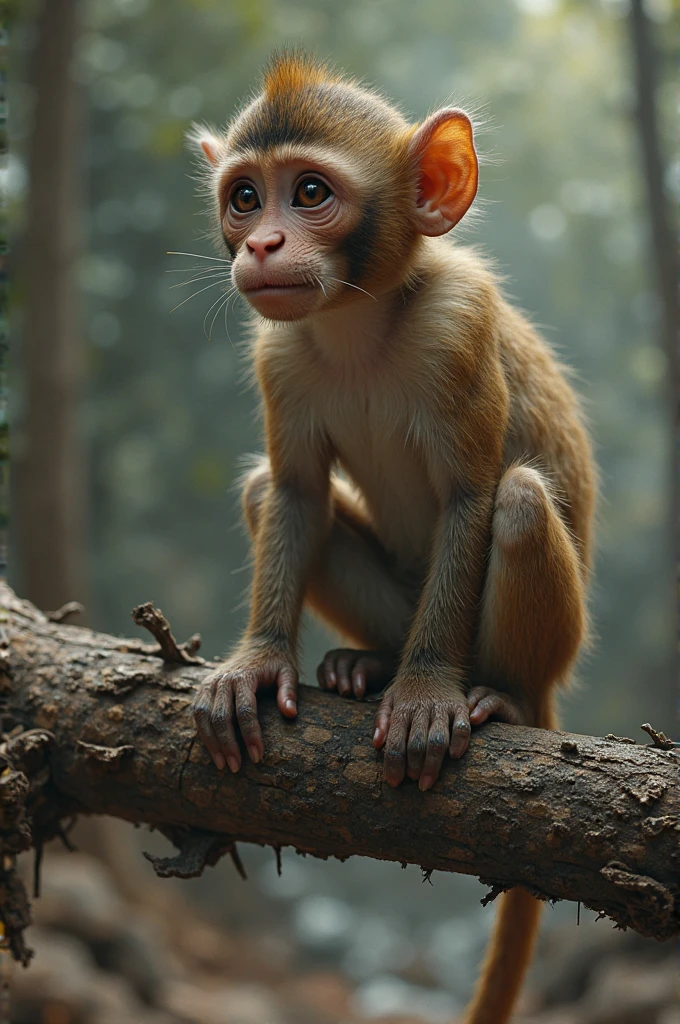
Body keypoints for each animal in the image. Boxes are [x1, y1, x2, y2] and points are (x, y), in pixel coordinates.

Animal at [189, 53, 596, 1024]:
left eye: (308, 192)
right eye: (244, 197)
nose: (262, 246)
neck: (357, 321)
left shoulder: (458, 324)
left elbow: (471, 498)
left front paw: (423, 695)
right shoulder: (279, 353)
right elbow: (294, 493)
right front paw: (257, 665)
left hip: (541, 647)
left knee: (520, 500)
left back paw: (499, 697)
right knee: (267, 491)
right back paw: (365, 663)